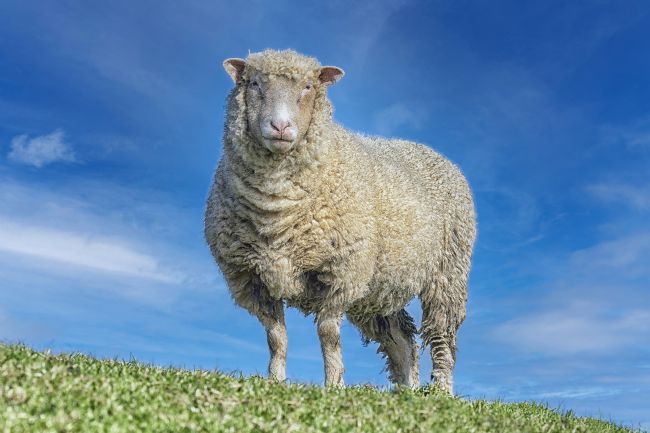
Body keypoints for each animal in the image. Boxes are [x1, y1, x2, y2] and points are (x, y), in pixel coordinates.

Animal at [204, 49, 476, 393]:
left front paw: (333, 384)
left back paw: (441, 390)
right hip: (378, 287)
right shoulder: (251, 280)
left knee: (441, 336)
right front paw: (275, 381)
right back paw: (407, 390)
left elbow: (328, 334)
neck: (275, 207)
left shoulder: (341, 272)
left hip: (447, 273)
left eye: (308, 86)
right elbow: (276, 337)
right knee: (401, 336)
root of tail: (430, 150)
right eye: (254, 83)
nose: (280, 126)